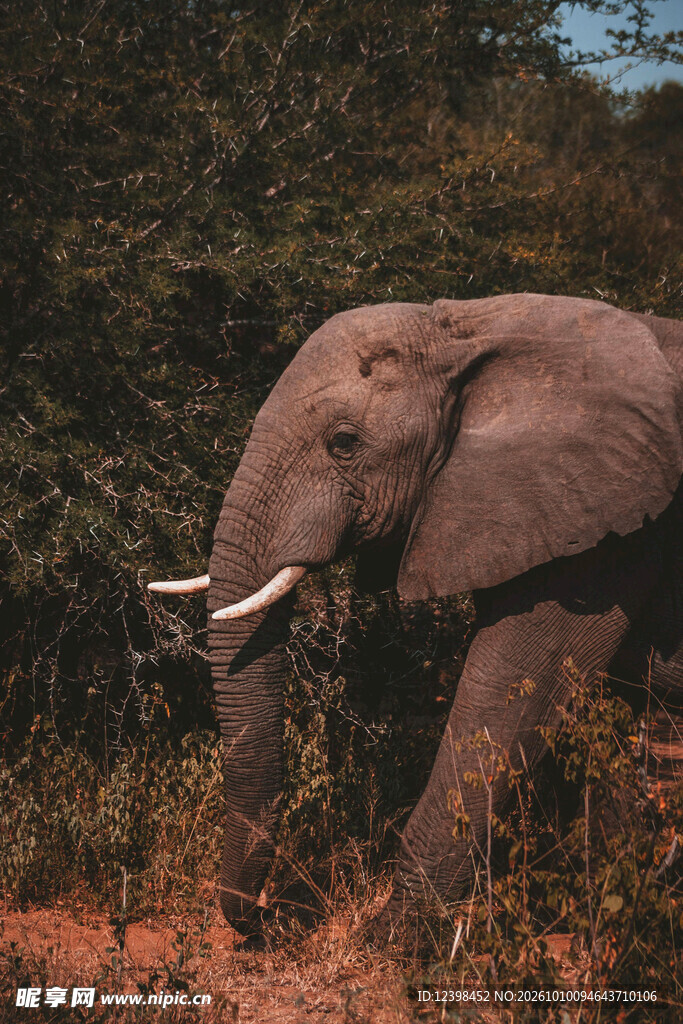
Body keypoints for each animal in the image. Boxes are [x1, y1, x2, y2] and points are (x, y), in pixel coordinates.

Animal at [148, 293, 683, 936]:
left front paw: (390, 942)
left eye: (344, 443)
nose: (266, 916)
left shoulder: (607, 528)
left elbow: (512, 692)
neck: (470, 328)